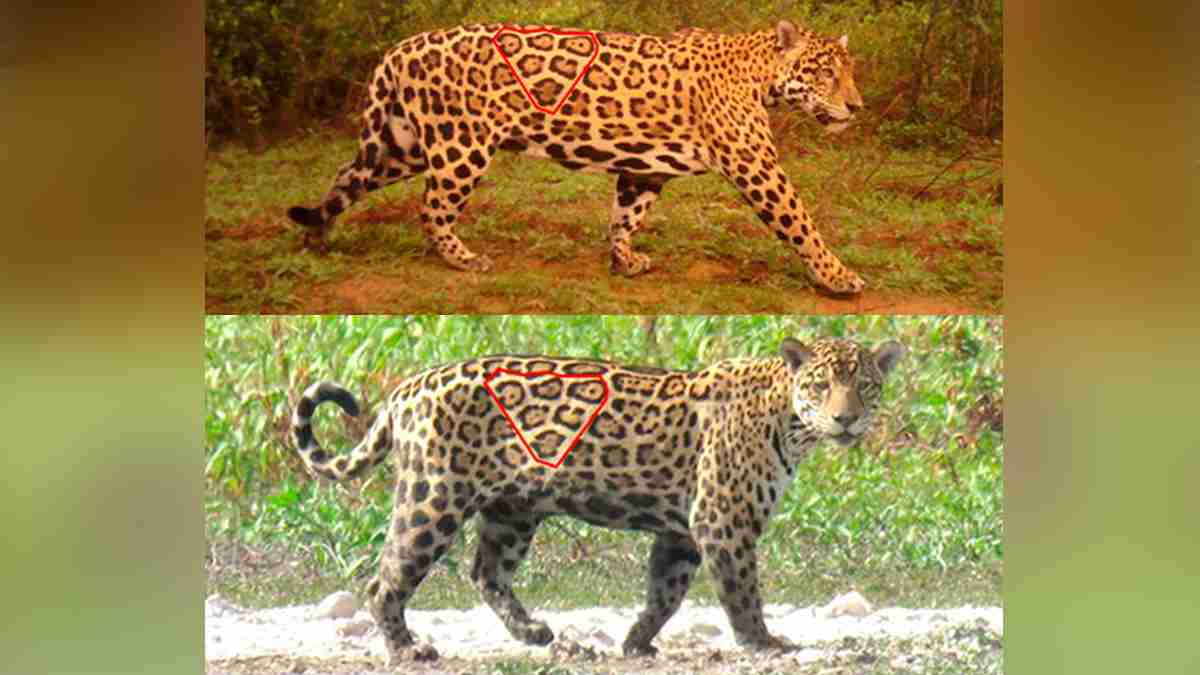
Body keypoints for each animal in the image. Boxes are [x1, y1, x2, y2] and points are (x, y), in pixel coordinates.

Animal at [287, 21, 868, 294]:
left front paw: (624, 260)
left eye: (850, 70)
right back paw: (462, 259)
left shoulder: (645, 170)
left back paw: (317, 237)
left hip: (400, 145)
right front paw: (838, 277)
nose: (858, 107)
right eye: (826, 73)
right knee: (431, 208)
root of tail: (398, 49)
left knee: (346, 176)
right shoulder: (756, 166)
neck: (758, 73)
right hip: (460, 146)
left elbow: (625, 217)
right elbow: (801, 222)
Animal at [291, 336, 905, 663]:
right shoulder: (722, 521)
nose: (847, 419)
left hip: (513, 510)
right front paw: (763, 642)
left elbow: (666, 592)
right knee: (387, 580)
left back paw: (535, 633)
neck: (788, 419)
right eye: (822, 386)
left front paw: (636, 643)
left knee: (487, 571)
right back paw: (408, 650)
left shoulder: (682, 531)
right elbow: (741, 591)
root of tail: (406, 388)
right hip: (433, 499)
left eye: (865, 386)